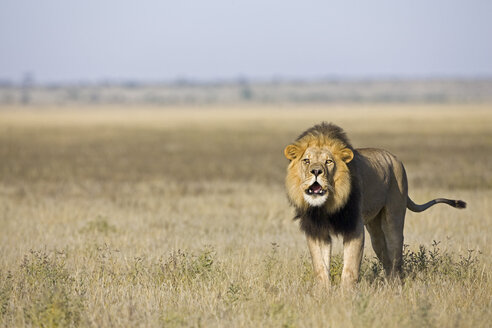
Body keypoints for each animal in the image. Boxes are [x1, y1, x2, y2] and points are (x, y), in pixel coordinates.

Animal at [284, 121, 466, 288]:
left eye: (328, 161)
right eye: (306, 161)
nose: (316, 171)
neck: (328, 206)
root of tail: (395, 158)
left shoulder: (354, 228)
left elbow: (350, 268)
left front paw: (346, 296)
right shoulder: (317, 231)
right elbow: (320, 268)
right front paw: (324, 294)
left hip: (393, 216)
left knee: (395, 251)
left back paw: (395, 285)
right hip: (374, 228)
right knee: (384, 254)